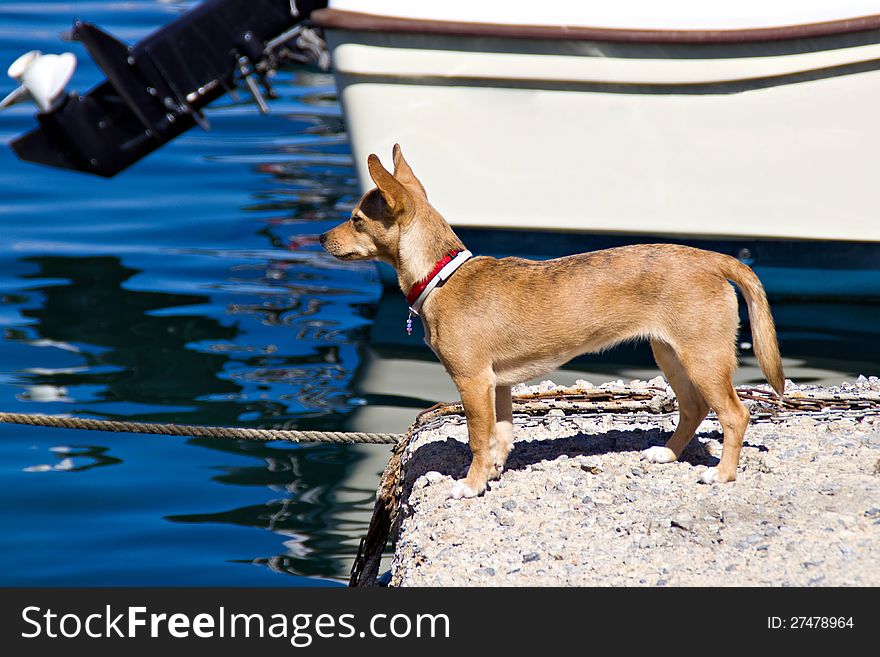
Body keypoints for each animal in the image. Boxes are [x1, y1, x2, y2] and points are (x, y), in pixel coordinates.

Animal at [322, 145, 784, 498]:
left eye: (356, 219)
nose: (323, 238)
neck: (442, 276)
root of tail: (711, 259)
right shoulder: (498, 385)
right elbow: (501, 434)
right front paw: (493, 471)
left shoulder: (473, 382)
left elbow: (477, 438)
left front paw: (471, 485)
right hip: (672, 355)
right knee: (694, 408)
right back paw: (667, 453)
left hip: (702, 358)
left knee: (734, 415)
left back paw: (722, 474)